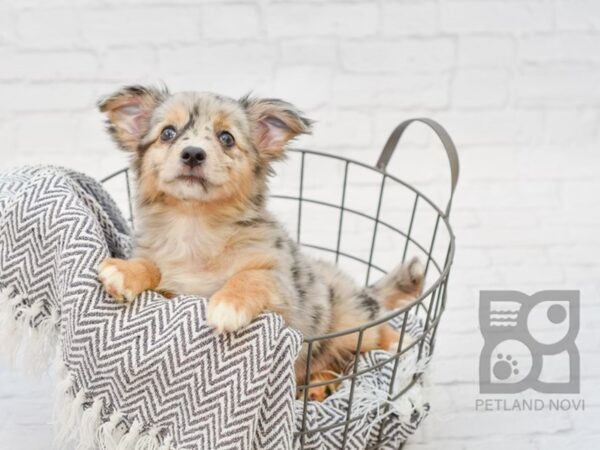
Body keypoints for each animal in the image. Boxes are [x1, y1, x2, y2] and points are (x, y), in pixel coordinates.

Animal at [96, 86, 424, 400]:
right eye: (167, 133)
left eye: (226, 138)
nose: (192, 154)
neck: (195, 226)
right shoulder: (169, 291)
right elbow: (152, 266)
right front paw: (127, 271)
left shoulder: (281, 288)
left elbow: (252, 277)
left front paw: (228, 304)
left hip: (350, 320)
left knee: (376, 329)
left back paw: (400, 342)